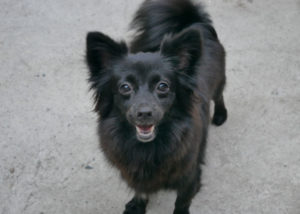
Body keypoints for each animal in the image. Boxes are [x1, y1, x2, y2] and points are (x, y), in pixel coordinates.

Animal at [85, 0, 226, 214]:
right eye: (125, 87)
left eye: (163, 86)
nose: (144, 113)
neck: (148, 148)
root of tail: (194, 21)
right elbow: (141, 190)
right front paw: (137, 205)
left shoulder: (190, 178)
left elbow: (181, 203)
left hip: (218, 82)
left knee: (219, 96)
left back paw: (220, 115)